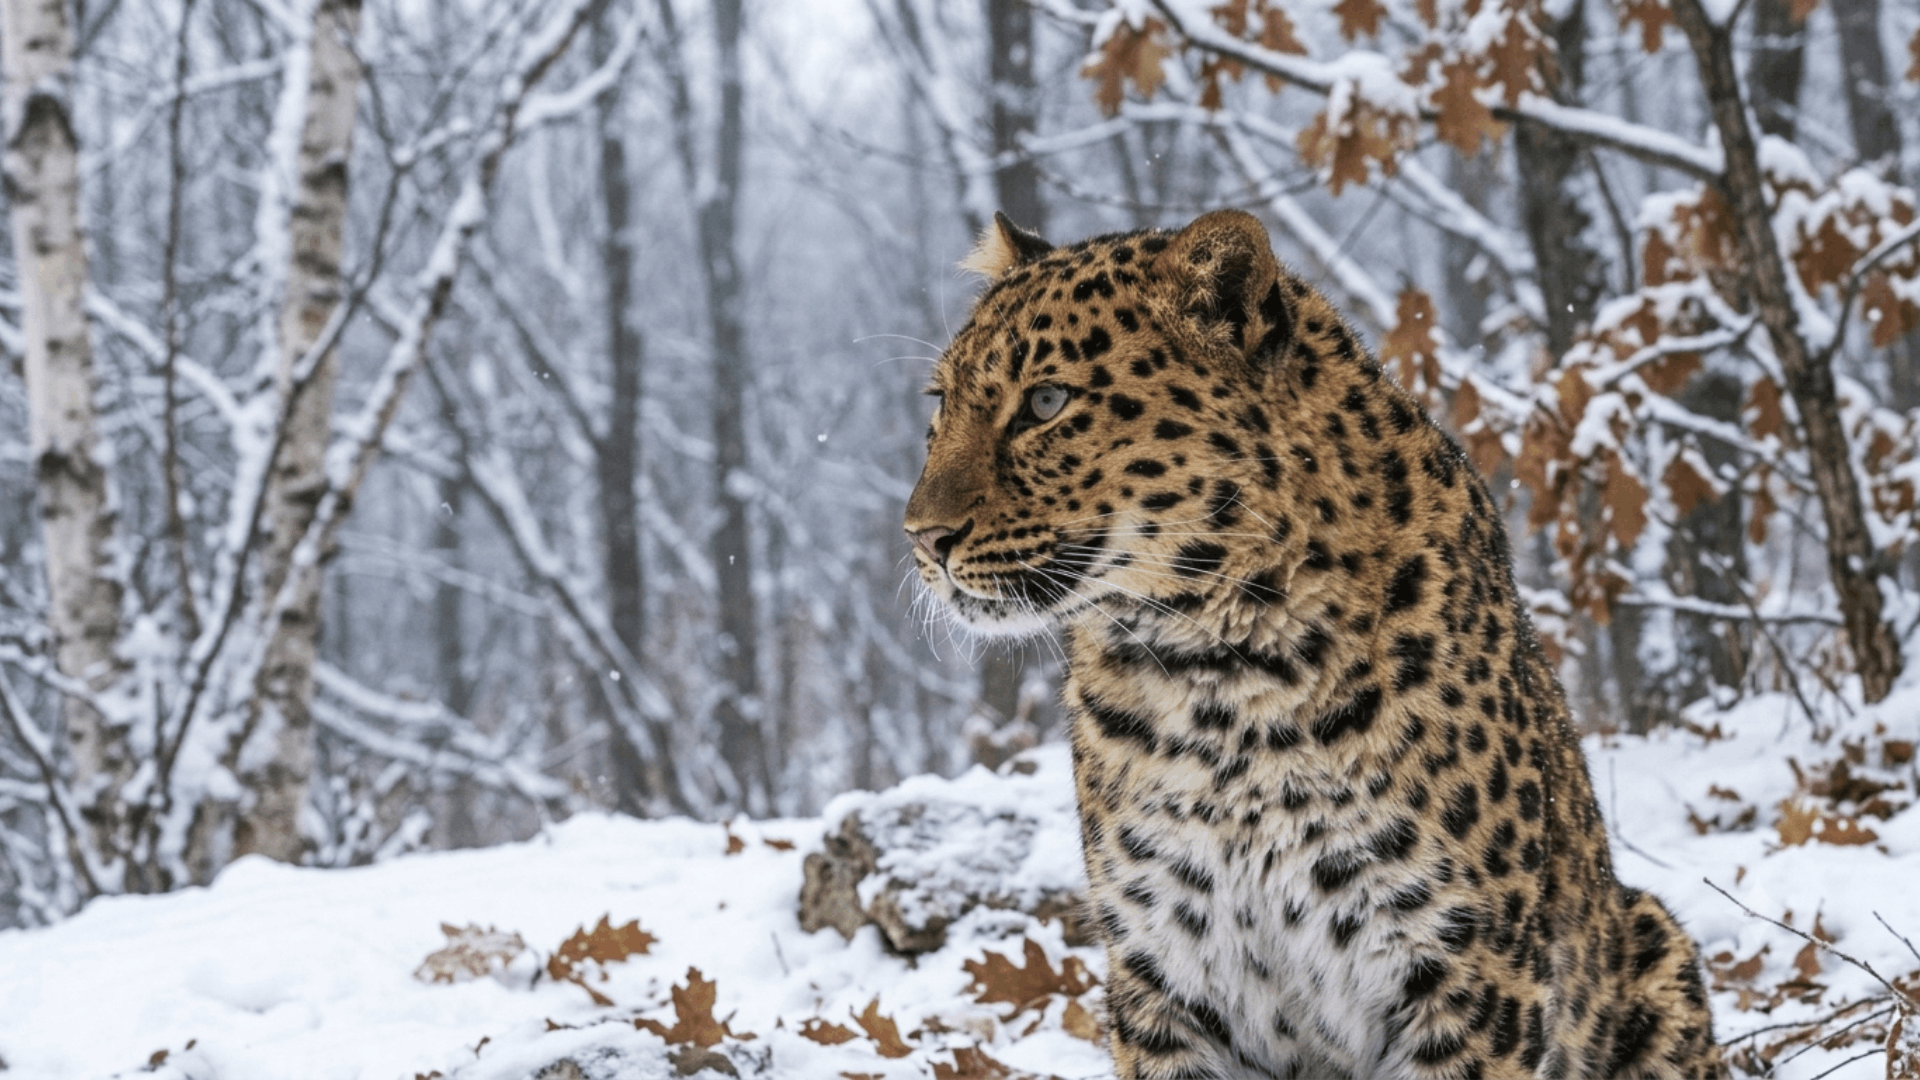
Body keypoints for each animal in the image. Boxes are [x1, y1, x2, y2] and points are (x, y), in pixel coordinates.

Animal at [903, 209, 1722, 1080]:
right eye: (941, 404)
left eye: (1046, 402)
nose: (921, 537)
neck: (1217, 674)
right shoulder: (1162, 975)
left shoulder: (1466, 973)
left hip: (1654, 940)